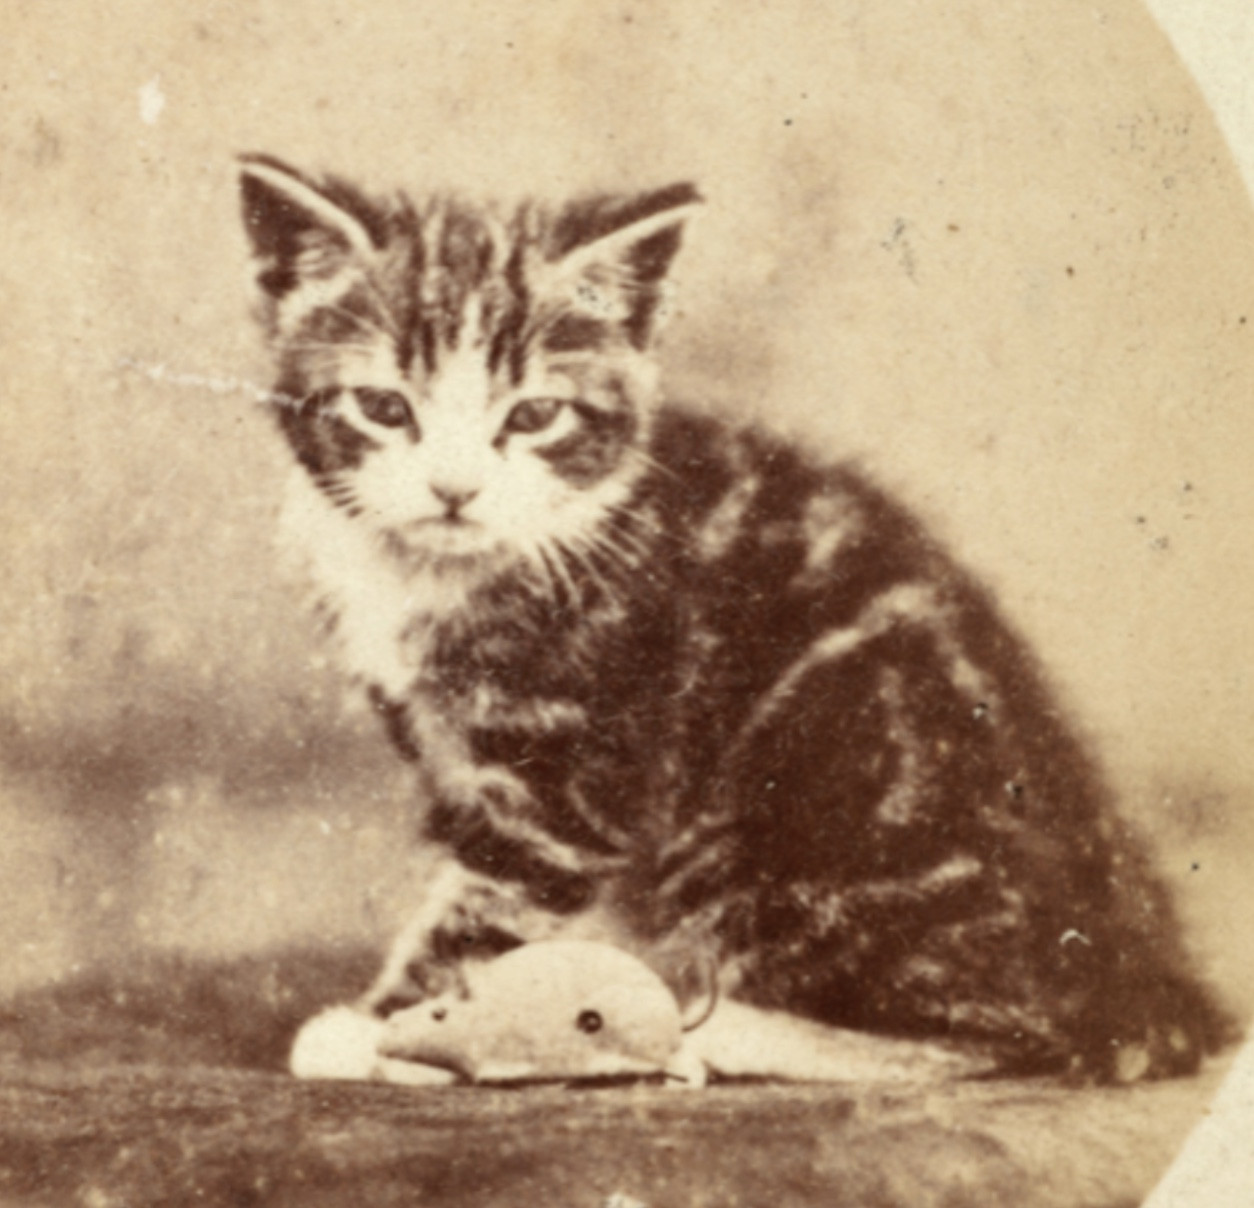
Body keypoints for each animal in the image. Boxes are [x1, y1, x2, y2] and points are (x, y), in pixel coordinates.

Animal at [235, 151, 1223, 1088]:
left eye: (537, 414)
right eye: (383, 407)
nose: (453, 489)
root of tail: (1140, 977)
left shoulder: (576, 773)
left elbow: (493, 903)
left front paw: (387, 1030)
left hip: (797, 813)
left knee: (1006, 1039)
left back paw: (717, 1029)